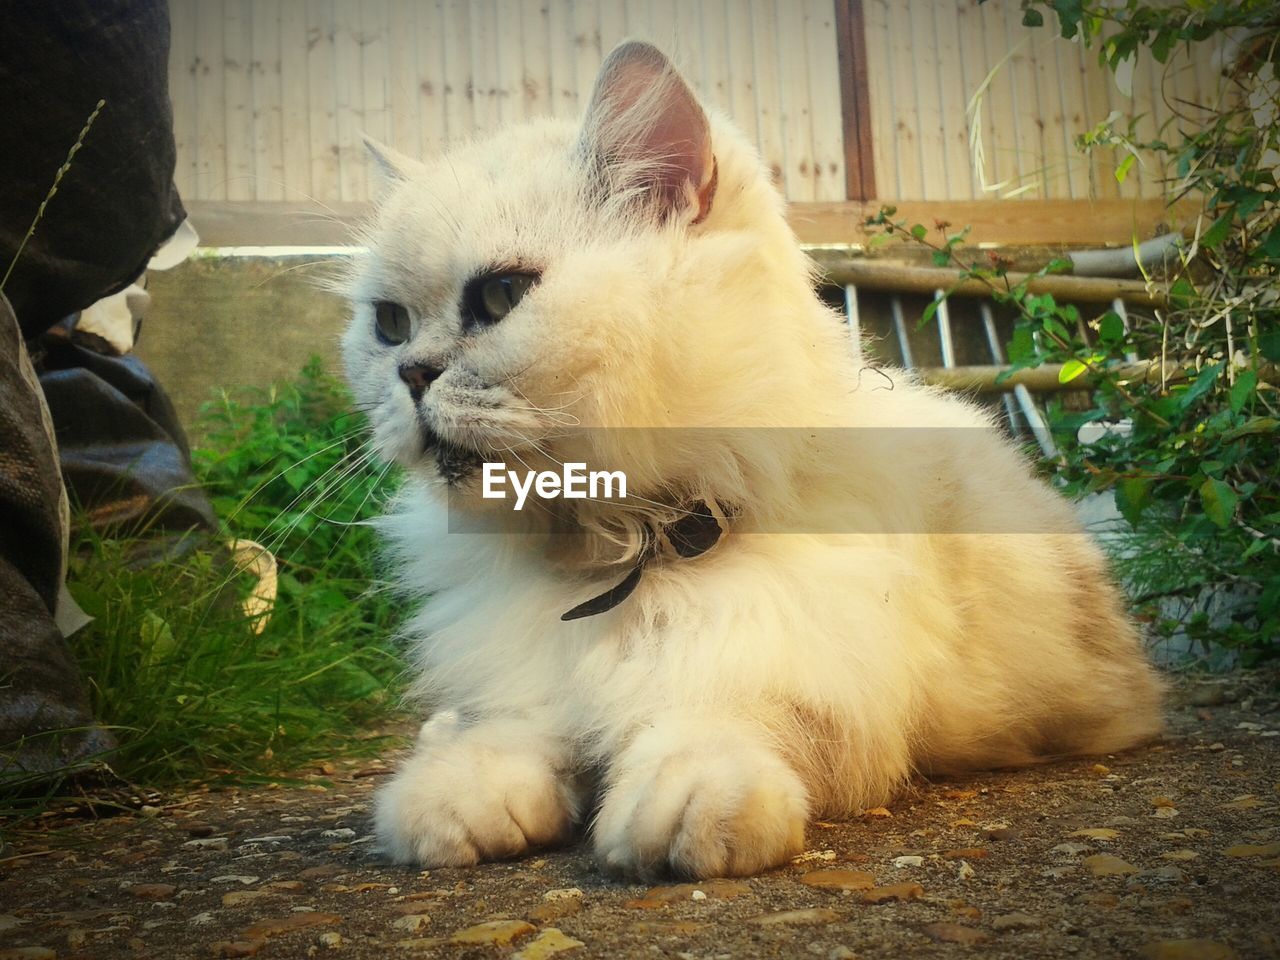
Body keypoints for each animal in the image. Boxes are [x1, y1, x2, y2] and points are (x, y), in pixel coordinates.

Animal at [340, 39, 1162, 880]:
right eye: (389, 324)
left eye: (501, 296)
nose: (411, 375)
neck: (622, 546)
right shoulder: (529, 681)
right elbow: (517, 734)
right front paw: (455, 801)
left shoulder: (812, 683)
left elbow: (722, 721)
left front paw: (682, 805)